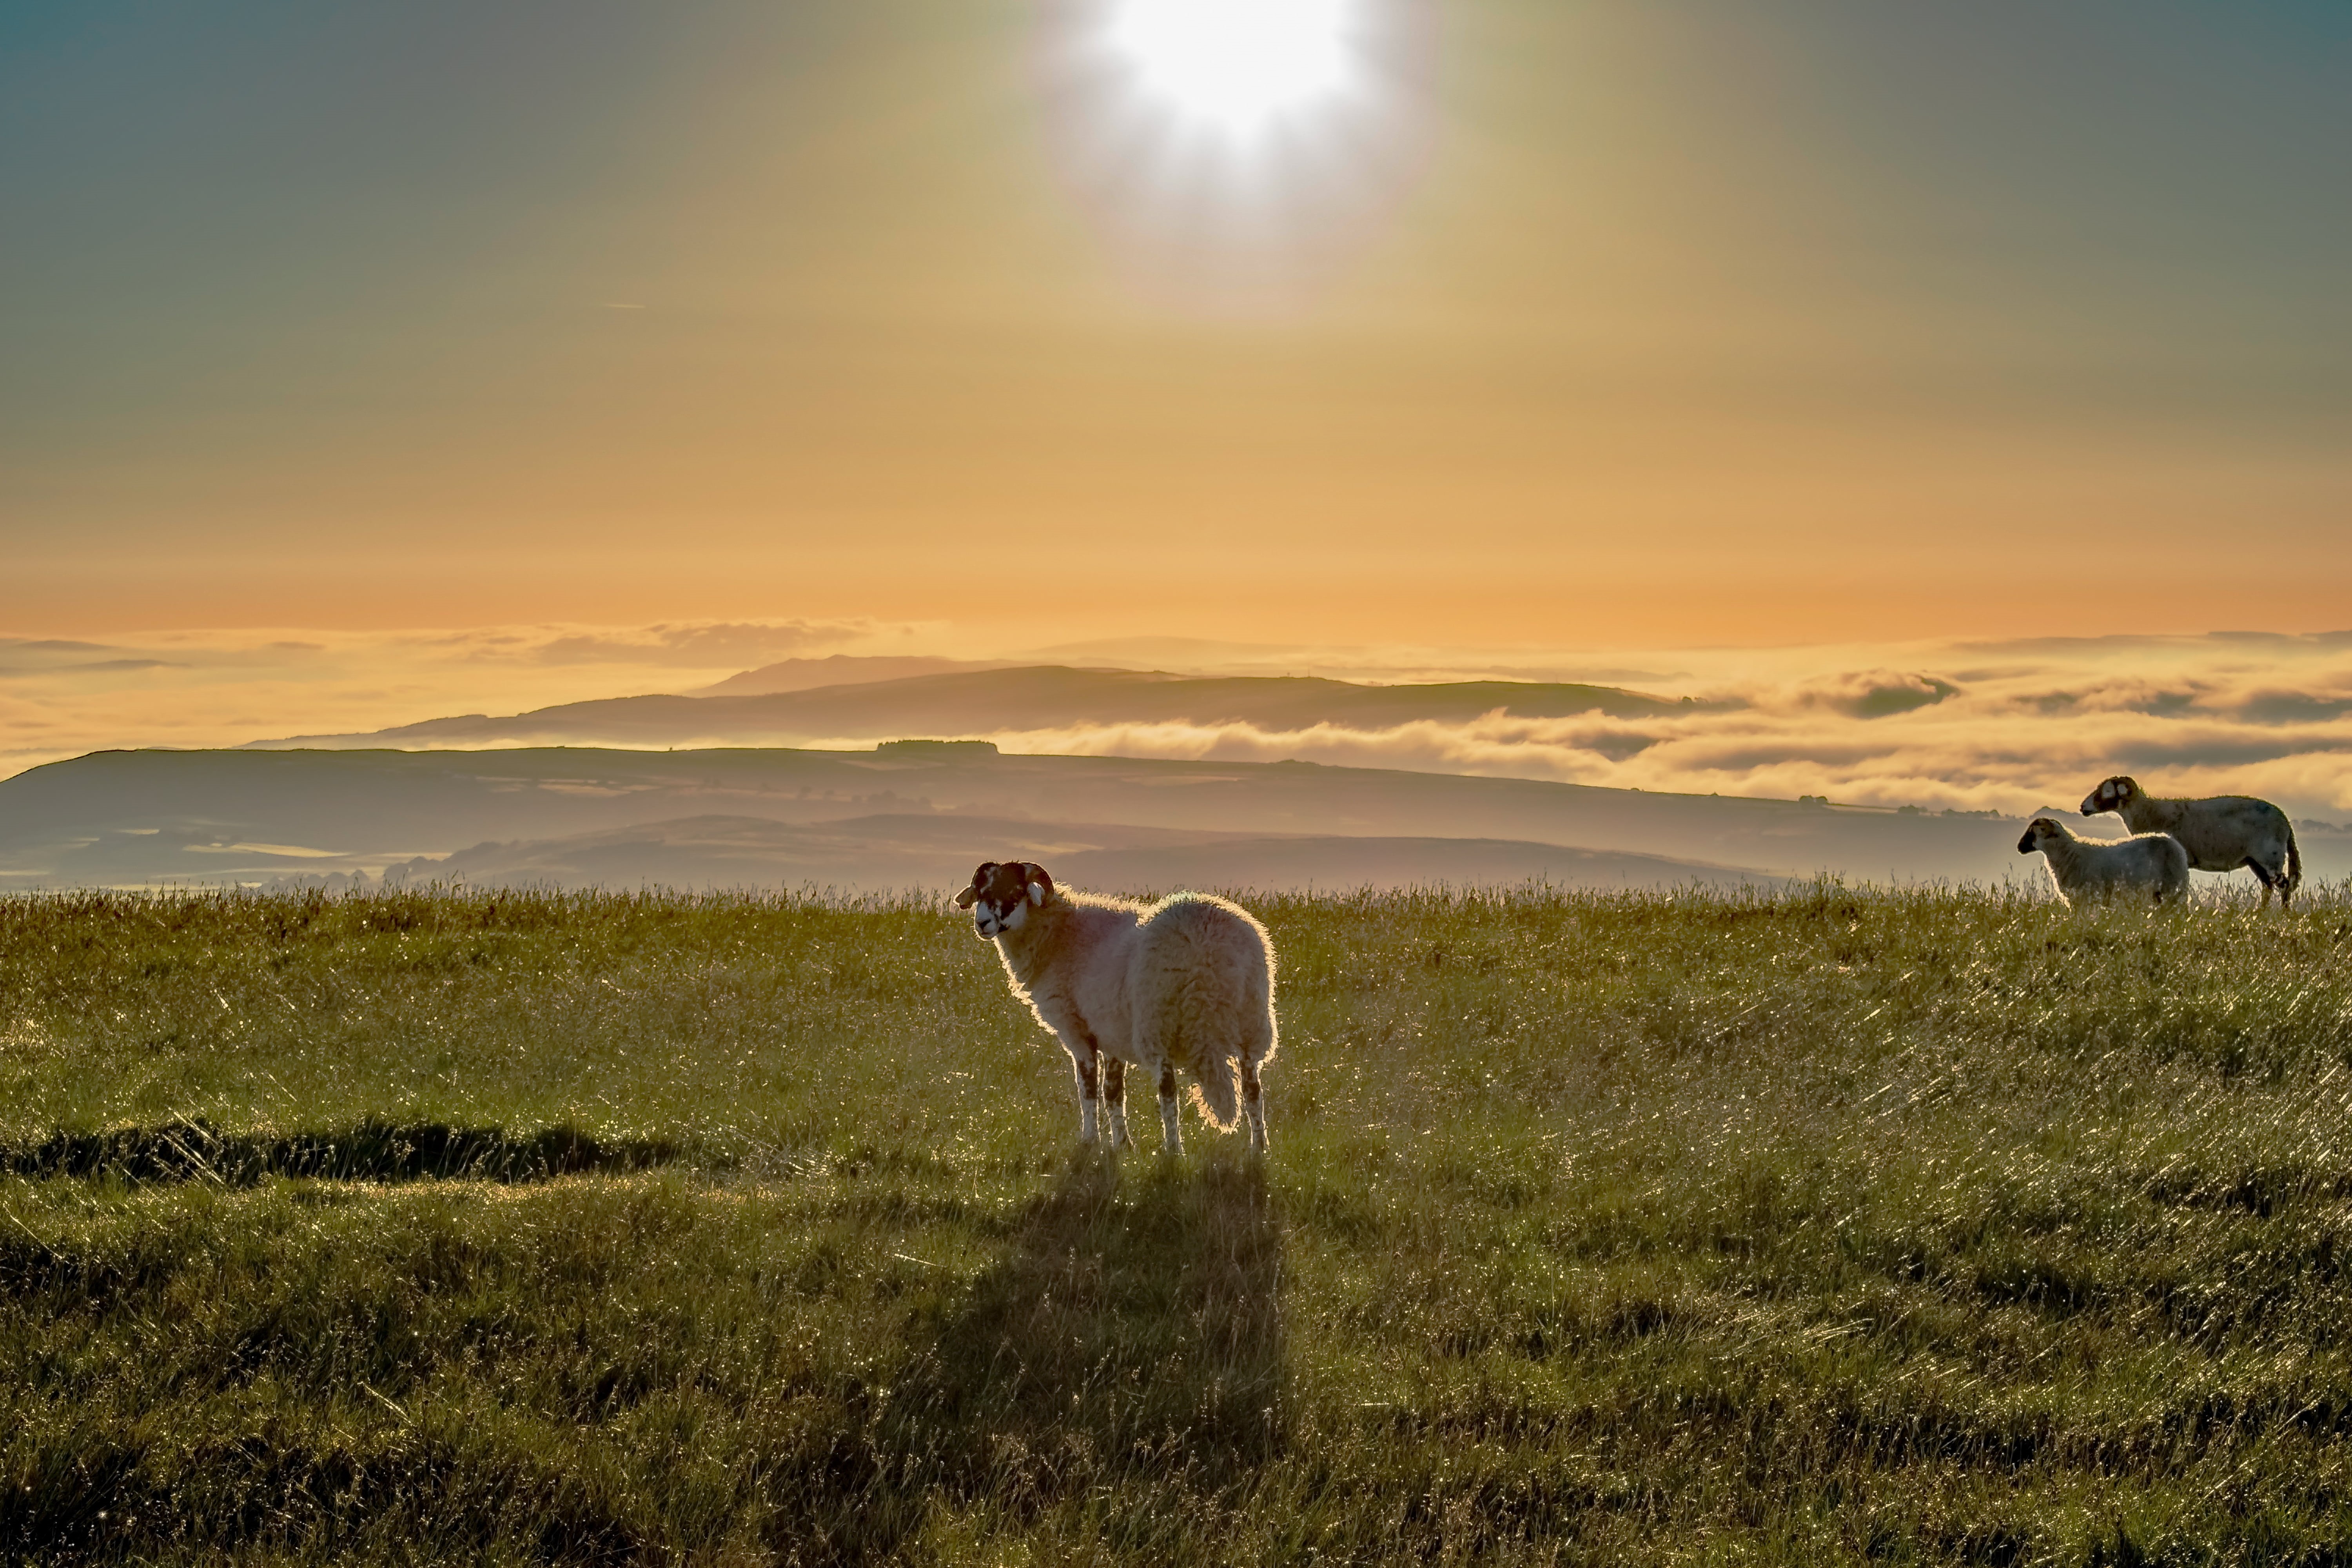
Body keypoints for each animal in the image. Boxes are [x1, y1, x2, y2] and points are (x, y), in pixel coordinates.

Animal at [956, 860, 1278, 1155]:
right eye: (981, 892)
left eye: (1014, 892)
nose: (982, 924)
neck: (1059, 934)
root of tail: (1210, 956)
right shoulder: (1111, 1031)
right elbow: (1113, 1093)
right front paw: (1122, 1146)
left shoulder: (1077, 1030)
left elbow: (1087, 1090)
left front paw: (1090, 1142)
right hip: (1252, 1023)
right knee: (1253, 1092)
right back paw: (1259, 1148)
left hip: (1158, 1023)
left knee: (1168, 1093)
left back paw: (1173, 1150)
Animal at [2017, 817, 2189, 907]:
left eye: (2034, 831)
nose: (2019, 847)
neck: (2070, 854)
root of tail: (2176, 845)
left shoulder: (2084, 899)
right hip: (2160, 893)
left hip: (2174, 889)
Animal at [2079, 775, 2302, 908]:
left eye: (2108, 792)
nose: (2083, 807)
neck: (2149, 813)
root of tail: (2286, 823)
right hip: (2256, 860)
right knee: (2268, 886)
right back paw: (2261, 914)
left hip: (2270, 855)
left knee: (2284, 886)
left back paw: (2283, 915)